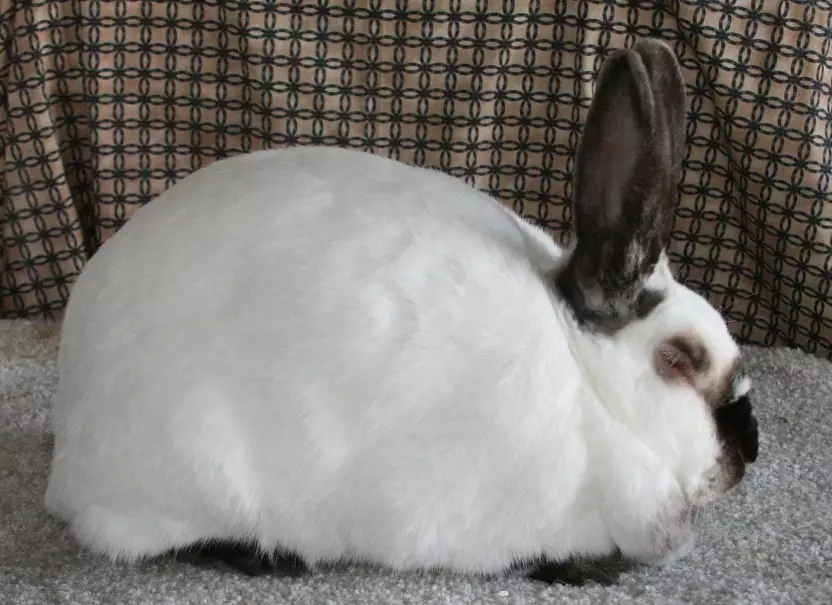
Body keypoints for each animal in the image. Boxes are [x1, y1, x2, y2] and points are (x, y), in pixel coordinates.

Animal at [43, 38, 758, 586]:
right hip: (195, 471)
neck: (590, 386)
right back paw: (268, 558)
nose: (748, 448)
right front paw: (585, 571)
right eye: (679, 360)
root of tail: (67, 463)